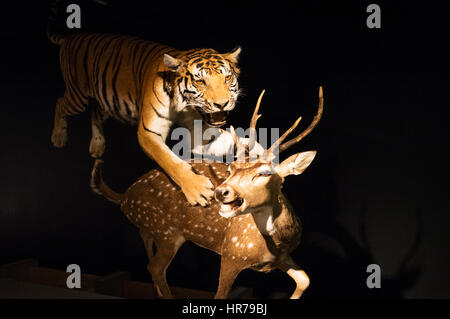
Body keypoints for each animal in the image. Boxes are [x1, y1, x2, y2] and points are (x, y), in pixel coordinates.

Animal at [47, 3, 241, 208]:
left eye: (227, 77)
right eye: (200, 81)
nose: (222, 104)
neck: (185, 105)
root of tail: (73, 37)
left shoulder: (198, 128)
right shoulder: (148, 132)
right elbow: (169, 161)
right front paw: (197, 188)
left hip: (107, 100)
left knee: (95, 112)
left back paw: (97, 144)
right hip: (78, 96)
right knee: (60, 103)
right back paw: (58, 137)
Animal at [90, 88, 324, 300]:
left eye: (265, 173)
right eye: (230, 168)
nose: (220, 191)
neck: (276, 244)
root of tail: (125, 196)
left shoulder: (283, 258)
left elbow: (305, 280)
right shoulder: (231, 254)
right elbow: (219, 295)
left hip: (149, 230)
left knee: (150, 262)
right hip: (166, 232)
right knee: (155, 269)